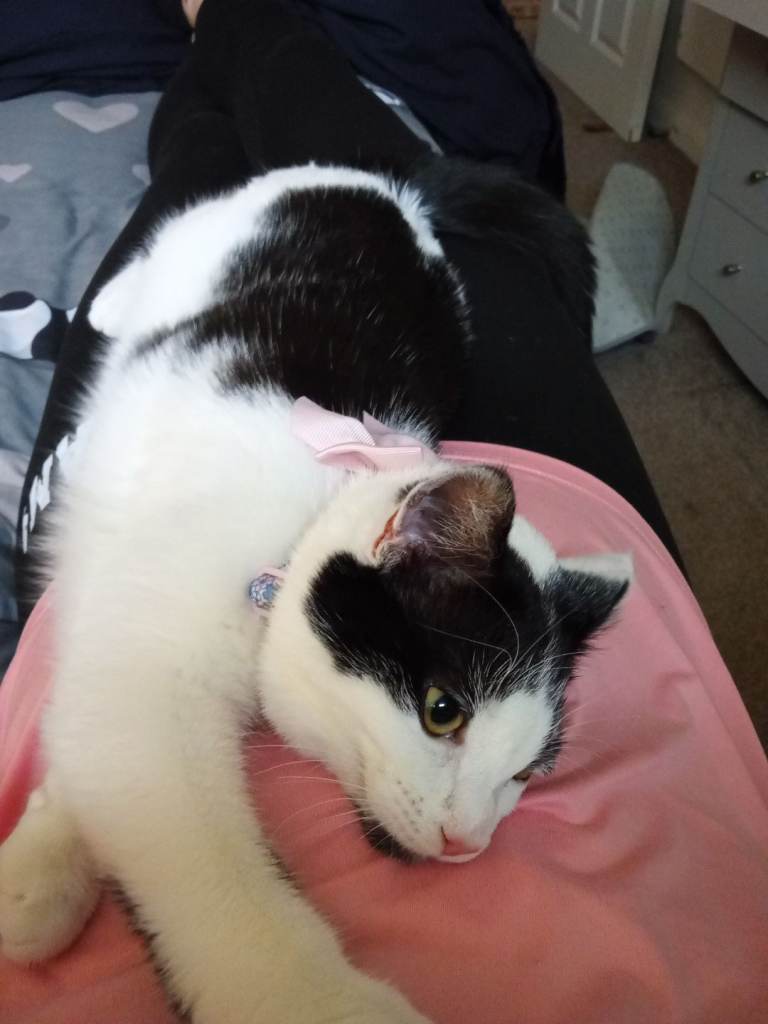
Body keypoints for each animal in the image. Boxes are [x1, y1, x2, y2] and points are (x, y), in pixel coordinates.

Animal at [0, 161, 630, 1023]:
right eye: (443, 711)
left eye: (529, 774)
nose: (468, 843)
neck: (303, 516)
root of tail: (395, 189)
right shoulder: (153, 668)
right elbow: (193, 850)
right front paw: (311, 997)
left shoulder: (124, 645)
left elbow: (90, 734)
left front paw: (39, 871)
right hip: (226, 223)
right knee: (163, 247)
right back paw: (113, 300)